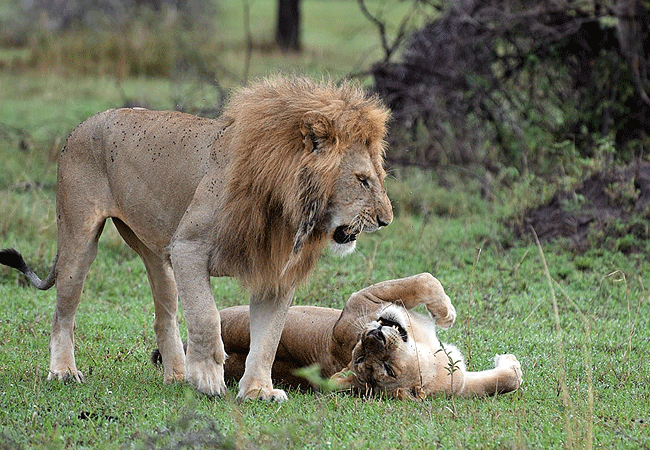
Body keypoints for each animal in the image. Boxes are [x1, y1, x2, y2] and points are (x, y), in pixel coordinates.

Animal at [0, 76, 390, 400]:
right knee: (62, 312)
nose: (386, 220)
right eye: (362, 180)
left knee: (164, 316)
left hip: (159, 255)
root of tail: (83, 123)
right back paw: (64, 372)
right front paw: (207, 380)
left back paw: (175, 375)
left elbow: (268, 338)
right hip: (80, 238)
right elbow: (206, 318)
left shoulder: (273, 272)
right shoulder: (189, 248)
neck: (285, 207)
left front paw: (258, 391)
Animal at [152, 274, 520, 398]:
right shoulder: (362, 302)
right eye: (362, 357)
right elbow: (423, 280)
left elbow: (502, 382)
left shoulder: (455, 380)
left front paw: (510, 365)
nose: (374, 337)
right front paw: (446, 312)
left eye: (387, 369)